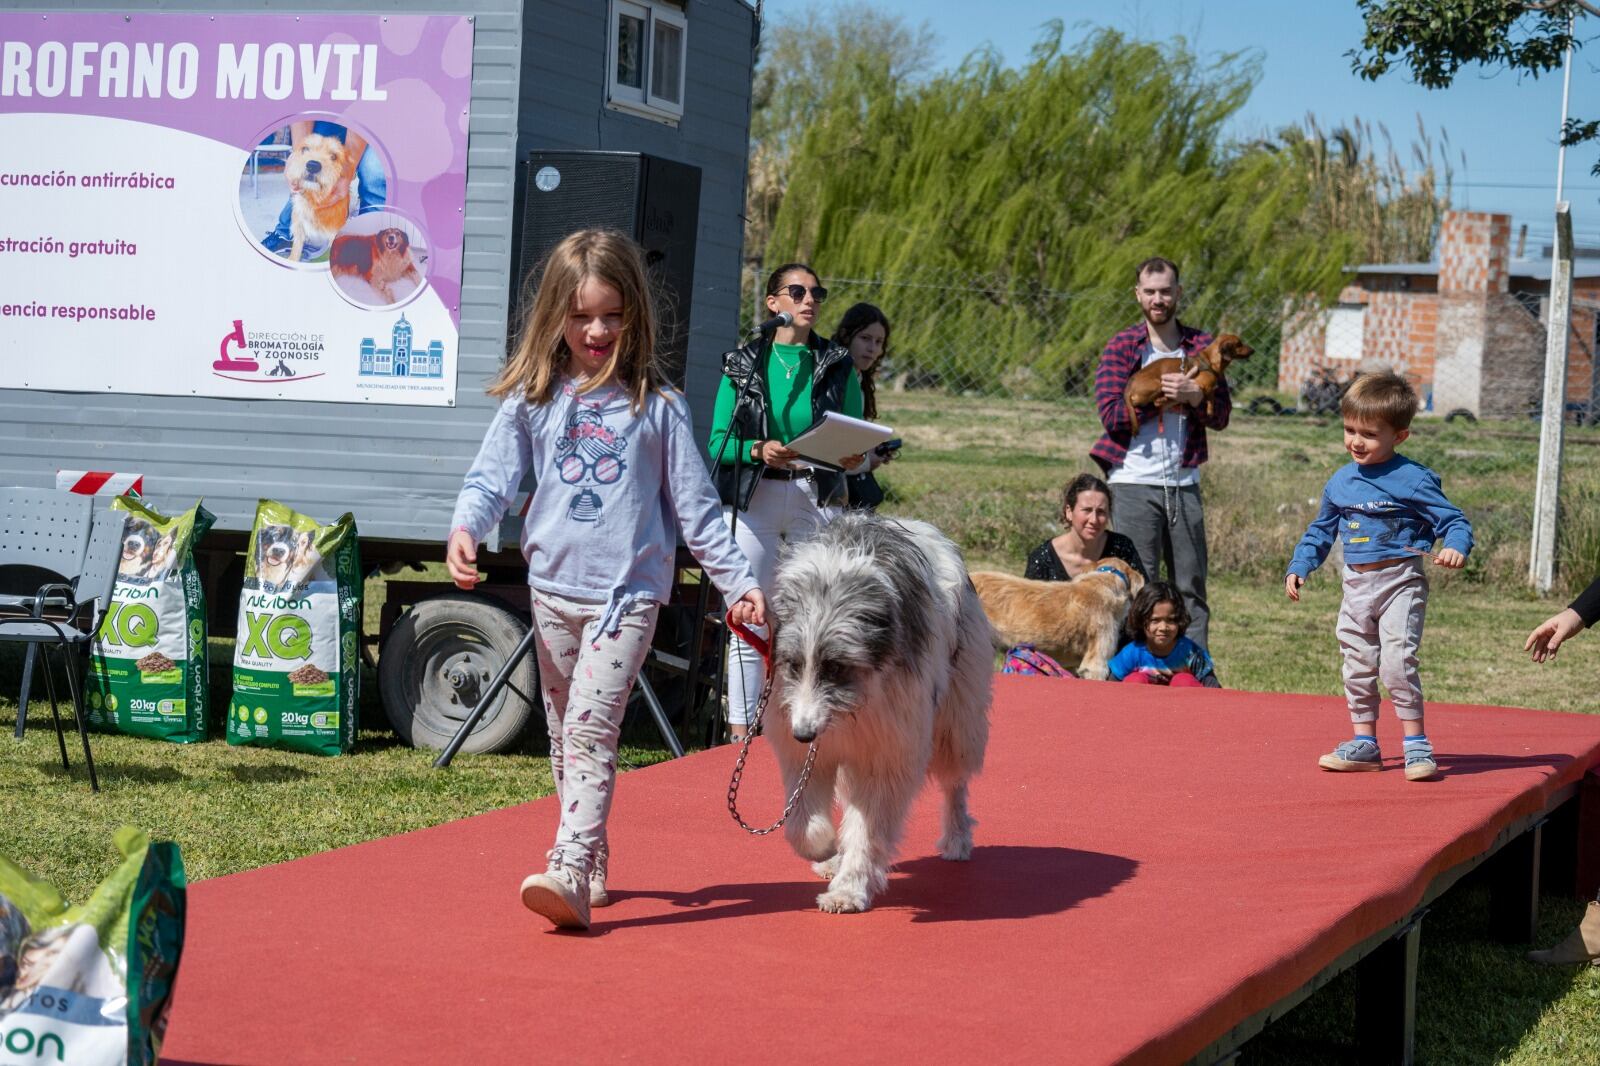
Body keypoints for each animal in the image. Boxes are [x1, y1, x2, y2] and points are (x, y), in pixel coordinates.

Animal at [284, 132, 353, 260]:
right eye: (305, 149)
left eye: (334, 157)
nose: (313, 165)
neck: (315, 200)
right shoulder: (299, 227)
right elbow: (295, 251)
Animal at [764, 512, 985, 909]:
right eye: (793, 664)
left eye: (835, 667)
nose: (803, 733)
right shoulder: (808, 750)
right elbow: (801, 822)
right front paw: (825, 848)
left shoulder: (888, 750)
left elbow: (868, 826)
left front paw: (849, 888)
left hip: (958, 719)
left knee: (954, 782)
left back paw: (958, 837)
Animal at [1120, 334, 1254, 428]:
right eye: (1239, 344)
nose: (1253, 350)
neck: (1209, 361)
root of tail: (1129, 385)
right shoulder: (1199, 384)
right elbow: (1209, 395)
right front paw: (1210, 409)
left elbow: (1211, 396)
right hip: (1158, 384)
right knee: (1151, 402)